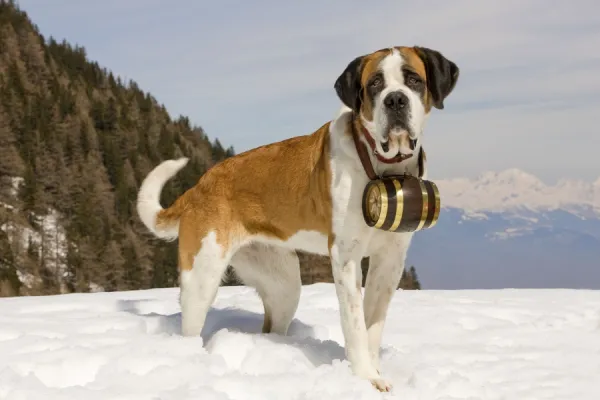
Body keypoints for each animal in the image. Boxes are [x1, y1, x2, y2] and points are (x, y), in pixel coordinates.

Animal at [137, 44, 460, 390]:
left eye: (413, 80)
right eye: (375, 83)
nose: (395, 100)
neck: (382, 166)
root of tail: (199, 186)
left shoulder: (390, 259)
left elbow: (373, 323)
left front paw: (376, 373)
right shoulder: (345, 257)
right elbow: (355, 324)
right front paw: (364, 377)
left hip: (283, 282)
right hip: (201, 277)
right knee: (192, 324)